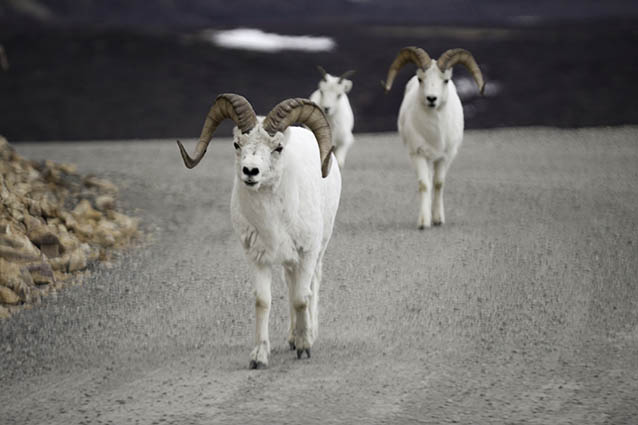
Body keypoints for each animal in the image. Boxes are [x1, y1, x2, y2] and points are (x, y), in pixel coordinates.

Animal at [178, 93, 342, 368]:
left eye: (278, 148)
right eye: (236, 144)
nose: (250, 172)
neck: (273, 220)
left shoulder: (307, 252)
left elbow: (302, 297)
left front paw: (304, 346)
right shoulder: (257, 258)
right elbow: (263, 301)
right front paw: (259, 357)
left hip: (318, 251)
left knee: (310, 288)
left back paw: (307, 335)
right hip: (289, 261)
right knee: (290, 284)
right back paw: (291, 338)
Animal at [384, 46, 484, 229]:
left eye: (445, 80)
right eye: (420, 79)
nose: (431, 98)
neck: (434, 134)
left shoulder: (445, 157)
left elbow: (438, 184)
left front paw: (438, 219)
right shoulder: (418, 154)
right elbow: (424, 185)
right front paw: (424, 222)